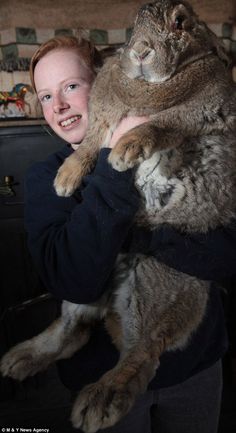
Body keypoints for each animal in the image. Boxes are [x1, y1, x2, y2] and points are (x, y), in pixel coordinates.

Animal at [0, 0, 236, 432]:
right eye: (133, 24)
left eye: (181, 22)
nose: (140, 52)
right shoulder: (103, 117)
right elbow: (91, 142)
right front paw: (65, 179)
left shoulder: (200, 111)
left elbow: (164, 123)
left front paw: (126, 150)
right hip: (86, 290)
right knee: (74, 330)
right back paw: (19, 359)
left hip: (153, 280)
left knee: (144, 353)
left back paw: (100, 401)